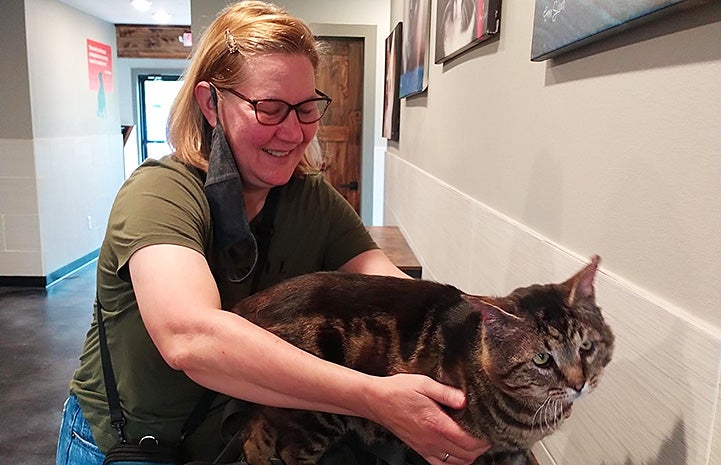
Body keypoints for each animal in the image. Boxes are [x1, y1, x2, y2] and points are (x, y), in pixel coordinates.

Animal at [228, 256, 612, 462]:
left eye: (586, 347)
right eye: (542, 358)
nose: (578, 383)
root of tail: (248, 305)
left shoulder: (512, 453)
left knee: (254, 436)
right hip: (315, 415)